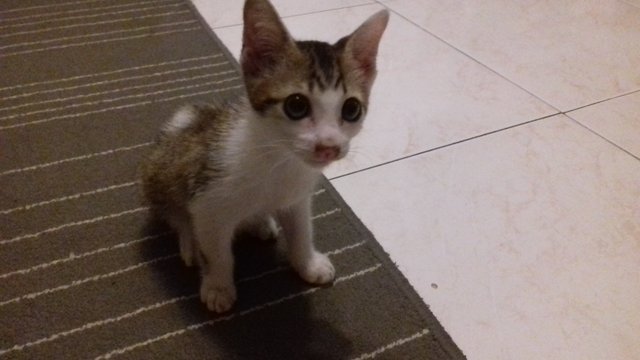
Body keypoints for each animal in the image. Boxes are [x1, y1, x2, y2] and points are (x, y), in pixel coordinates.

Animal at [140, 0, 388, 312]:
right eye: (296, 105)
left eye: (352, 109)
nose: (329, 146)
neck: (279, 159)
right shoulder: (207, 202)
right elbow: (216, 251)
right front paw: (218, 285)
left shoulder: (297, 197)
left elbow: (301, 231)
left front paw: (308, 263)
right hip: (162, 172)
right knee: (173, 211)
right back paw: (190, 242)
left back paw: (259, 222)